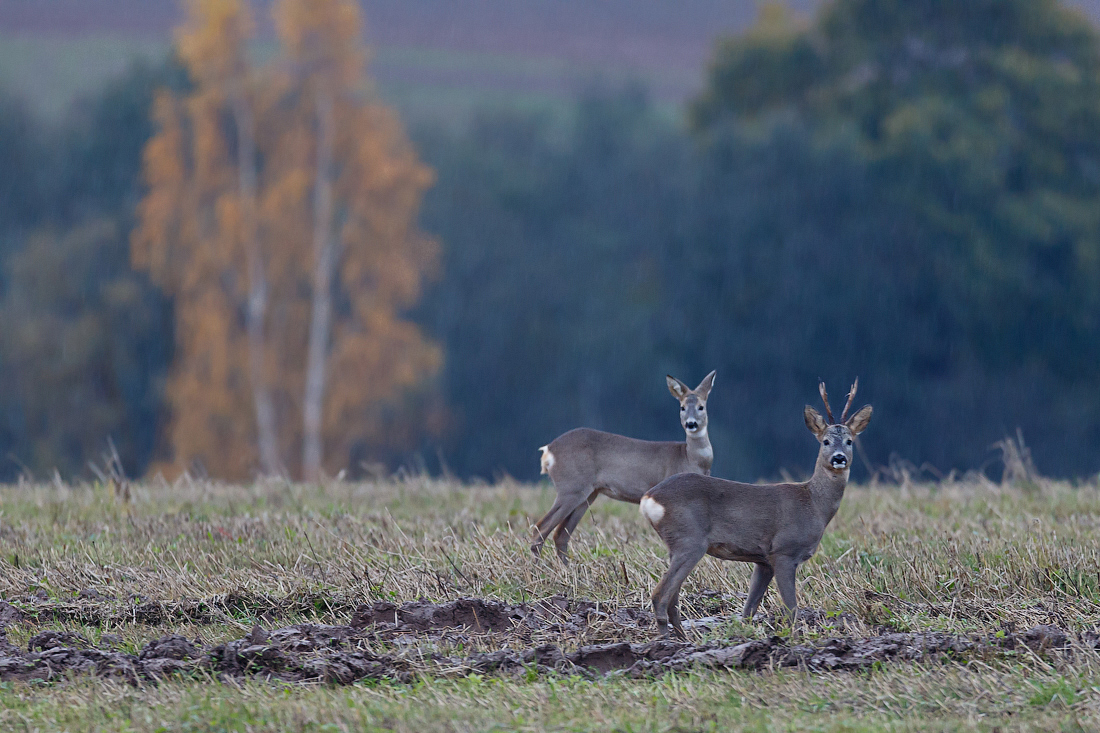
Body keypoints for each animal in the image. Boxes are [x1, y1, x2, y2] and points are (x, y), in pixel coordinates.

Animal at [534, 372, 721, 559]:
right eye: (682, 407)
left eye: (701, 407)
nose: (691, 424)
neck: (689, 458)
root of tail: (549, 450)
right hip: (571, 487)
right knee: (541, 527)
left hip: (588, 494)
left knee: (560, 535)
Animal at [642, 378, 871, 638]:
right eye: (826, 441)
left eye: (850, 441)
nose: (839, 458)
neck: (814, 504)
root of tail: (650, 498)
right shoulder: (784, 551)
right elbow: (791, 609)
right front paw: (792, 639)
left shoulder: (763, 560)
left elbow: (749, 610)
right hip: (690, 541)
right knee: (660, 595)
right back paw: (666, 641)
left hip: (676, 544)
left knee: (673, 597)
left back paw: (685, 638)